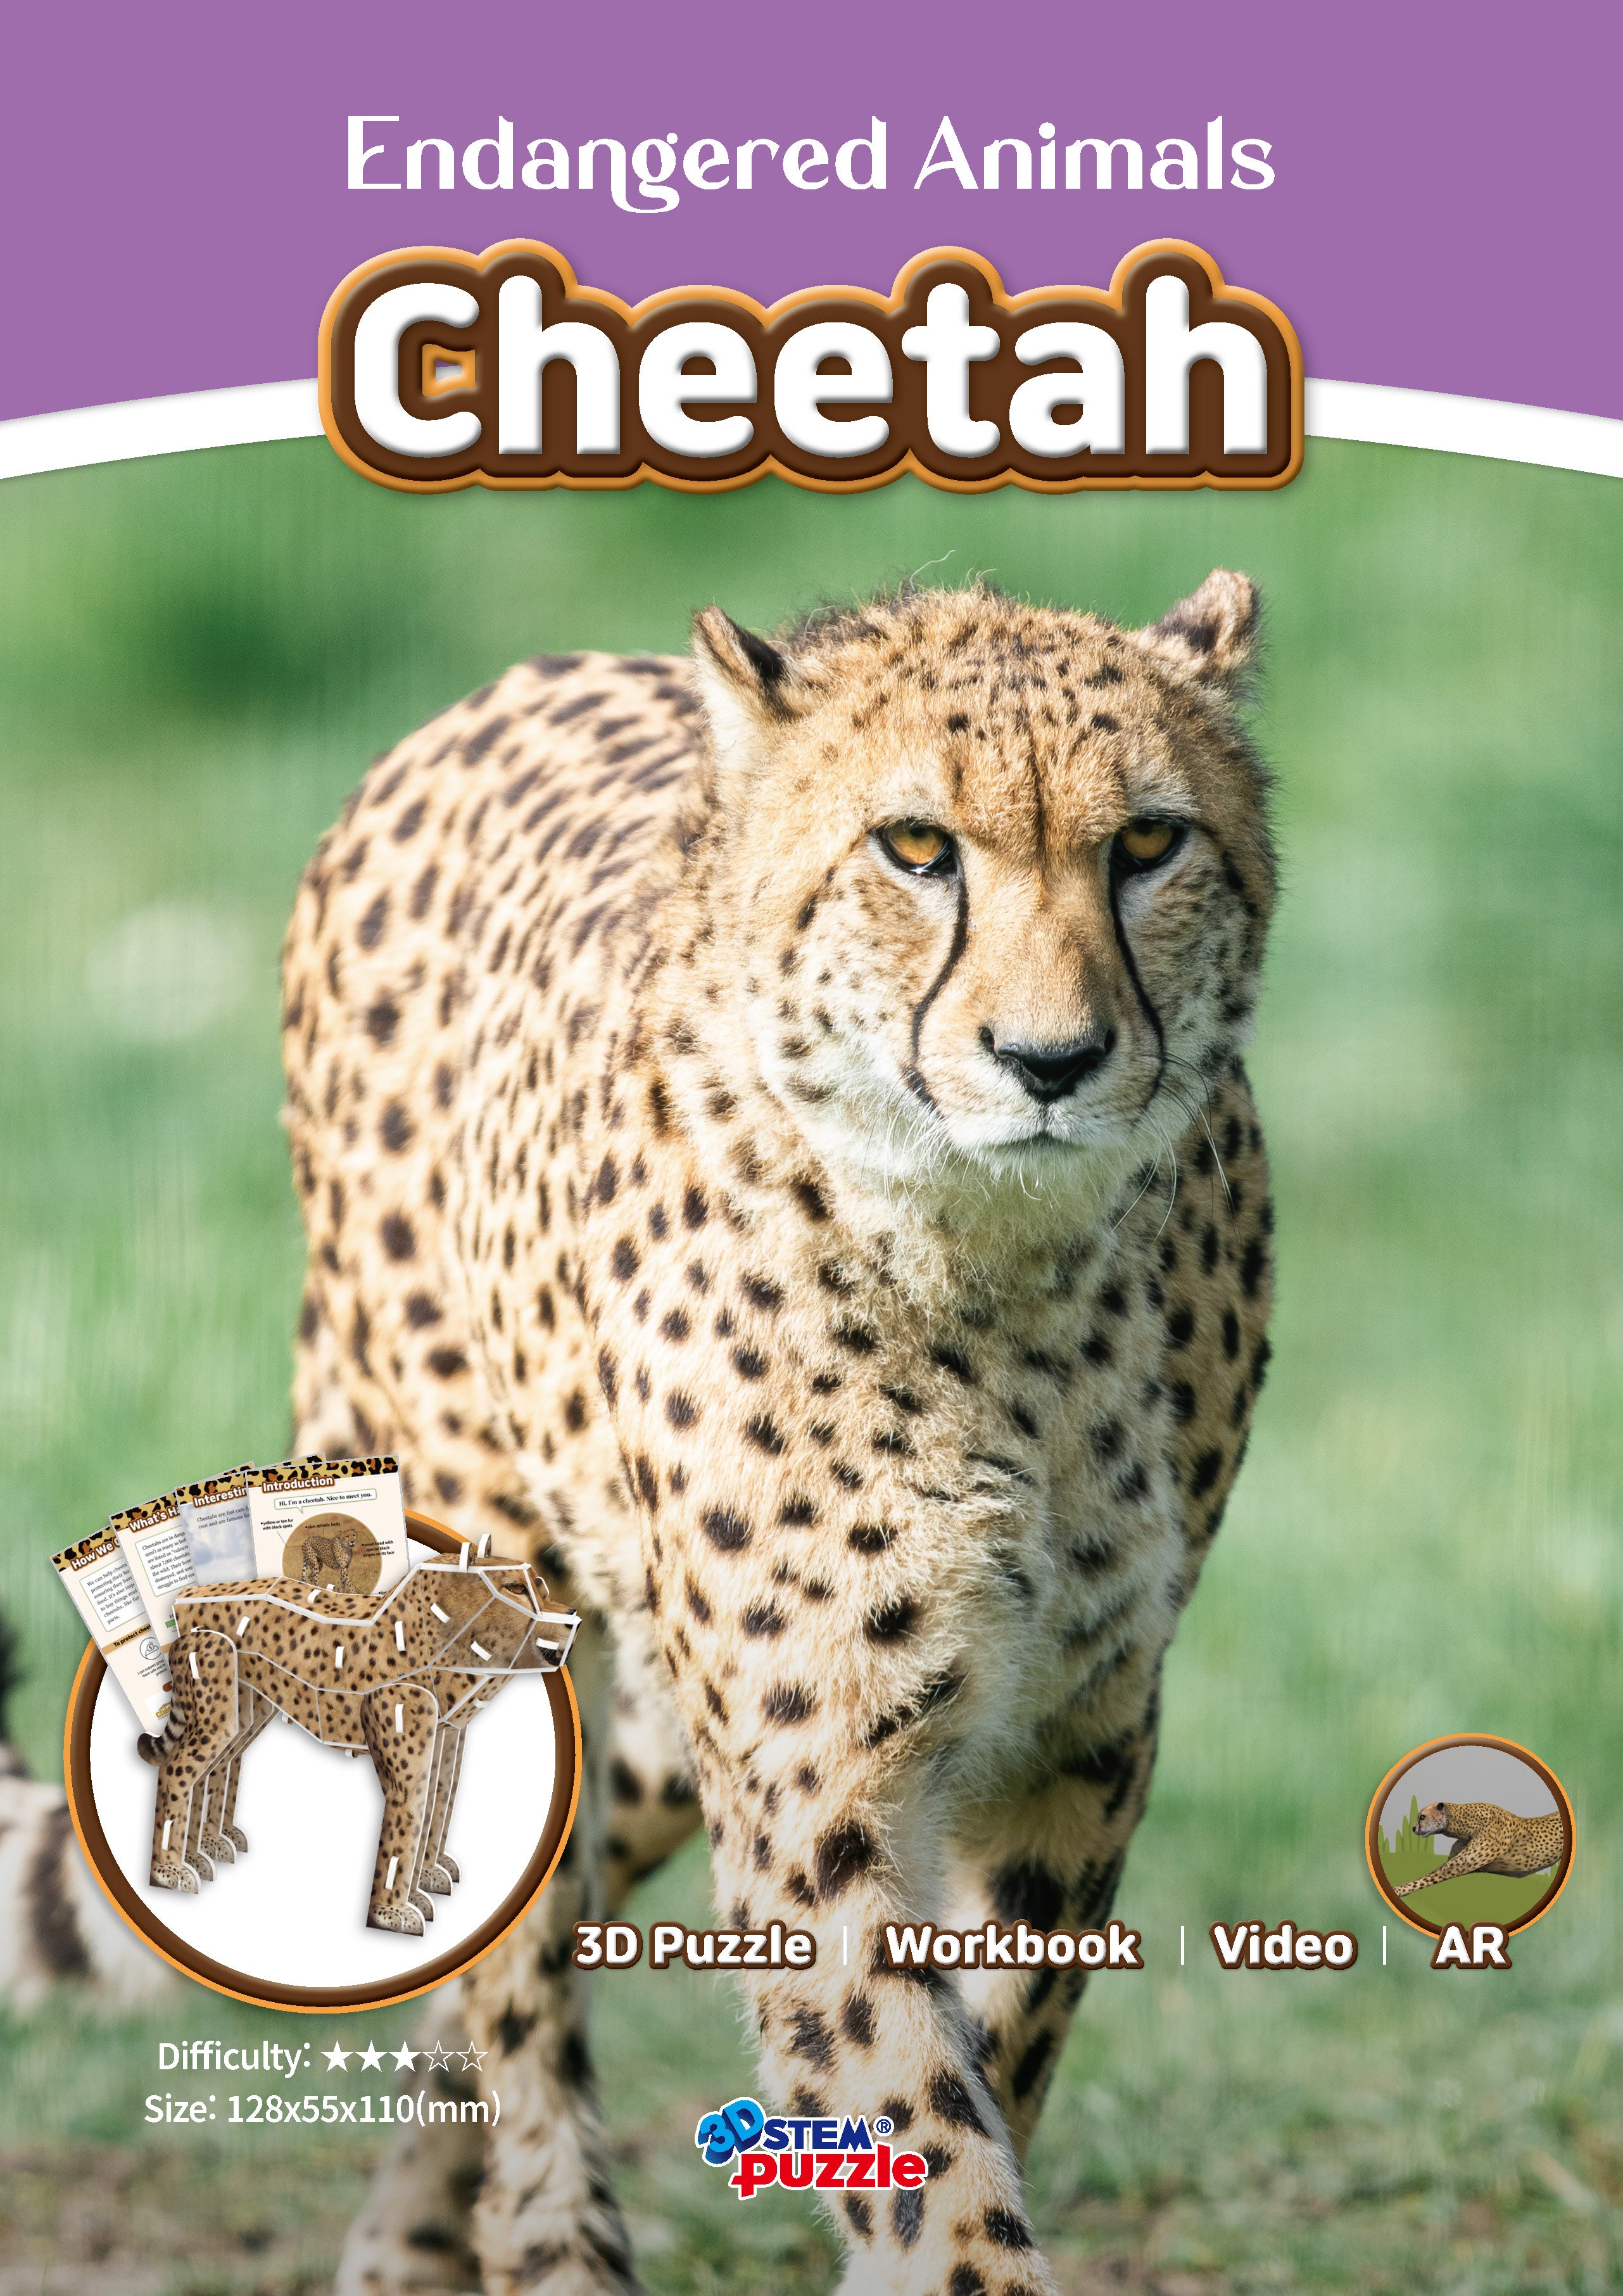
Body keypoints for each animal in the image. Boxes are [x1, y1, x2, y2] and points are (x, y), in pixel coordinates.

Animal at [281, 568, 1278, 2296]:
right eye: (918, 848)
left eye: (1149, 842)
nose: (1053, 1061)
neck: (1009, 1282)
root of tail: (476, 702)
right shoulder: (816, 1772)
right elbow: (921, 2118)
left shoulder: (1083, 1728)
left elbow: (991, 2046)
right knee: (518, 1975)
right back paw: (539, 2235)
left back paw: (413, 2219)